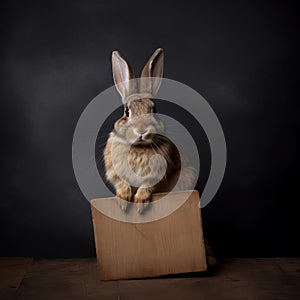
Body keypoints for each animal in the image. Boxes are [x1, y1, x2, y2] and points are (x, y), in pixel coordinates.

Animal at [103, 48, 197, 213]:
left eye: (154, 110)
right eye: (127, 111)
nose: (141, 130)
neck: (139, 147)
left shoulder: (156, 174)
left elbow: (147, 185)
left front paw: (140, 202)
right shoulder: (115, 171)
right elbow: (122, 183)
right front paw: (123, 200)